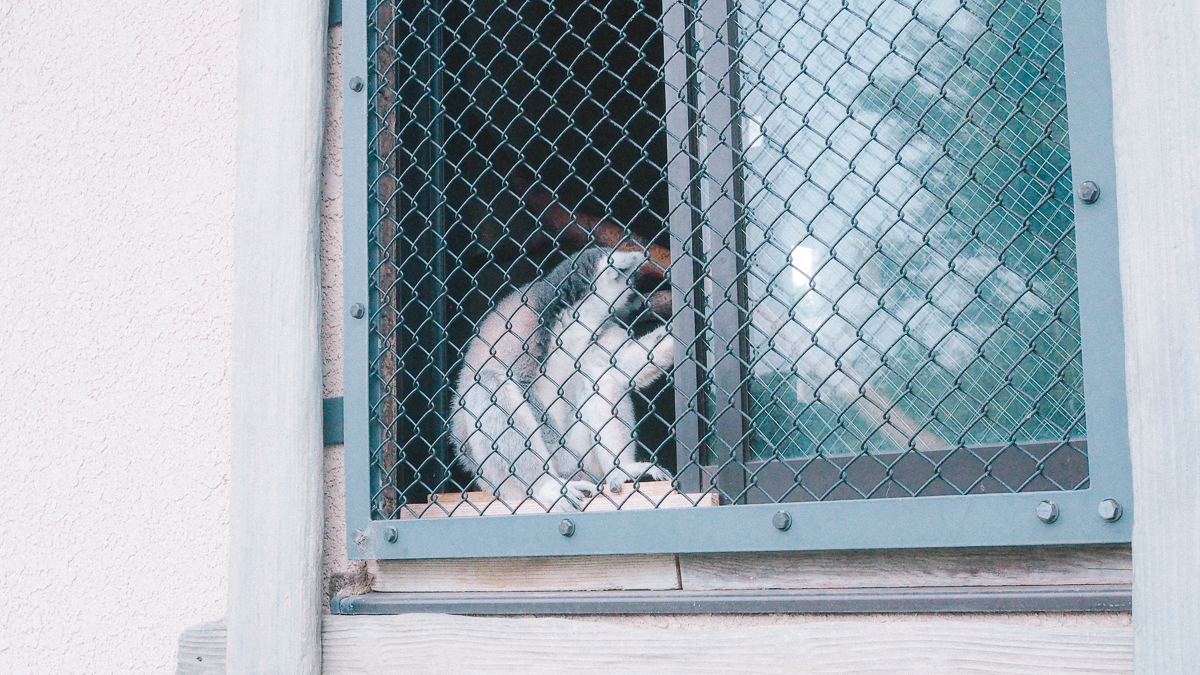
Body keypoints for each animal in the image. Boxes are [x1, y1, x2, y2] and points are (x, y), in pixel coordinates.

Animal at [451, 247, 676, 509]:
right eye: (632, 288)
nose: (641, 303)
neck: (576, 315)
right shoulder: (524, 325)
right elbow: (520, 383)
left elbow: (621, 365)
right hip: (496, 478)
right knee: (489, 385)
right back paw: (548, 485)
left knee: (597, 368)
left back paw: (621, 470)